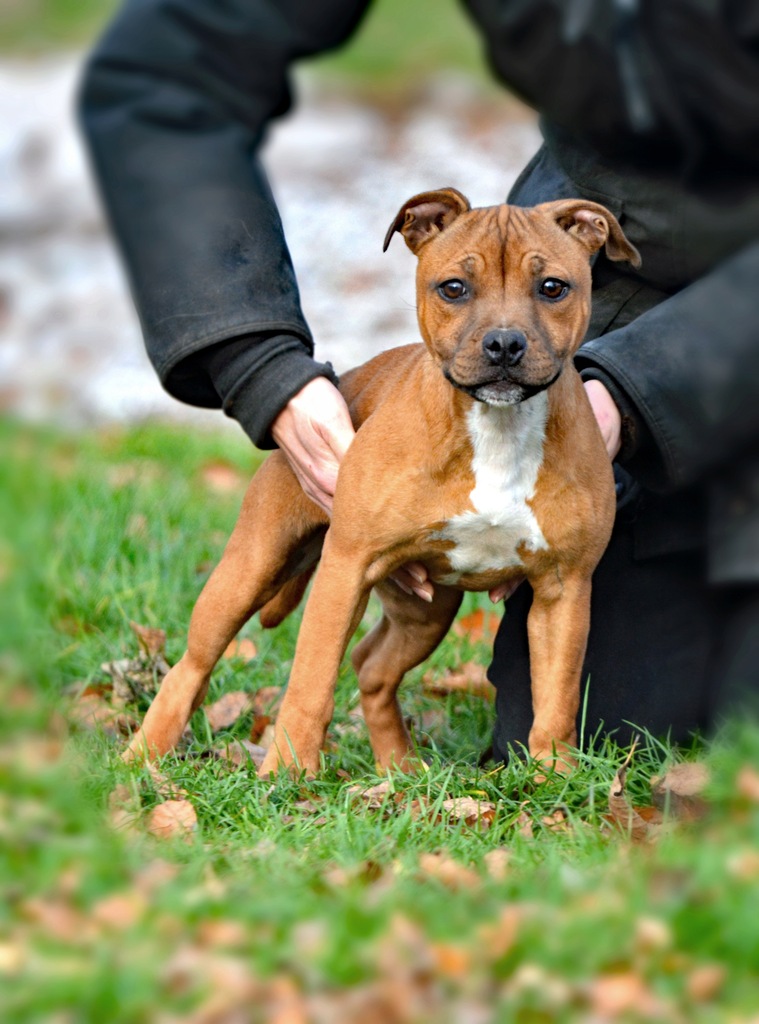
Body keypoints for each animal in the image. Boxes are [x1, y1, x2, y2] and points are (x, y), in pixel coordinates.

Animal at [125, 192, 639, 770]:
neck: (498, 428)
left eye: (552, 287)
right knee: (192, 666)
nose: (504, 343)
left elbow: (556, 699)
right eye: (453, 288)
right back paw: (142, 758)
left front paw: (553, 779)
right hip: (249, 570)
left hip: (428, 608)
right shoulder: (346, 568)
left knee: (372, 665)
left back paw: (398, 768)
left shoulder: (563, 591)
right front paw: (288, 772)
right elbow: (311, 683)